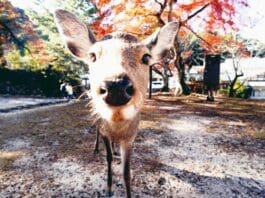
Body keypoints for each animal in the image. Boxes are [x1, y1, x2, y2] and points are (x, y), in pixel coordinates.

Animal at [53, 10, 177, 197]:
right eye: (92, 56)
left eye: (146, 57)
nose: (116, 86)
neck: (118, 127)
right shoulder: (104, 130)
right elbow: (109, 158)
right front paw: (109, 189)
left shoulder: (132, 135)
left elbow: (126, 171)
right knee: (96, 132)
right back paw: (96, 149)